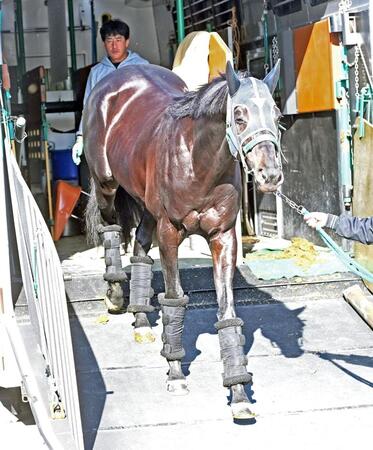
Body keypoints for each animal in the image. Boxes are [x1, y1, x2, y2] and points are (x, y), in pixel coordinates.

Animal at [83, 62, 282, 418]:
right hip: (106, 186)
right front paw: (175, 374)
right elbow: (174, 300)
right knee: (112, 230)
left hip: (147, 206)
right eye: (240, 116)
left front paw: (238, 392)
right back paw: (116, 295)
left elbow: (227, 313)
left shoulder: (223, 238)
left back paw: (141, 321)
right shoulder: (170, 234)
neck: (197, 163)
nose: (269, 175)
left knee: (140, 250)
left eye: (275, 114)